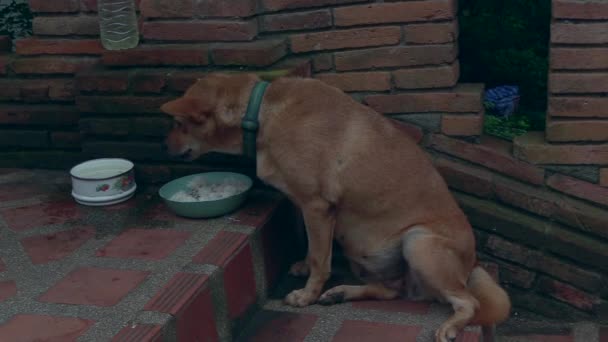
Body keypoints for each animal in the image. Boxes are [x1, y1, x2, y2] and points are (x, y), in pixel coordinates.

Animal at [160, 73, 508, 340]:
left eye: (178, 123)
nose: (164, 148)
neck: (260, 113)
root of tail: (471, 264)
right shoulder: (307, 207)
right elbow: (311, 248)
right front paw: (304, 270)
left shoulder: (316, 206)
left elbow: (319, 258)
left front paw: (307, 294)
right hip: (360, 250)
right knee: (392, 290)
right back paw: (340, 293)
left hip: (419, 243)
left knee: (468, 302)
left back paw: (449, 327)